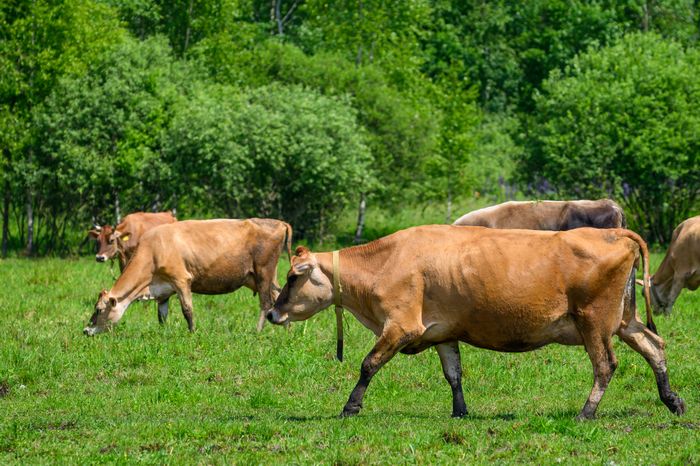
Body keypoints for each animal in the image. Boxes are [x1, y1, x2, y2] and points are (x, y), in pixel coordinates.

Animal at [84, 218, 292, 335]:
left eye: (99, 310)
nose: (86, 330)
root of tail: (279, 222)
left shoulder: (181, 279)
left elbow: (187, 310)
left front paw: (192, 333)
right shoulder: (163, 289)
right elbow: (161, 315)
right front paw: (163, 333)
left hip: (263, 271)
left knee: (266, 303)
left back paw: (258, 331)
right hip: (263, 277)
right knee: (278, 298)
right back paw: (287, 329)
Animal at [266, 226, 685, 420]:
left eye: (292, 277)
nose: (271, 313)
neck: (385, 262)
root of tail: (613, 232)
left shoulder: (400, 326)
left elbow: (369, 364)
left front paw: (350, 407)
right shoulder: (443, 332)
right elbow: (453, 374)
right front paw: (460, 410)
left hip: (594, 322)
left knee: (605, 365)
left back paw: (586, 412)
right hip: (624, 321)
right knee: (654, 347)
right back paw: (672, 400)